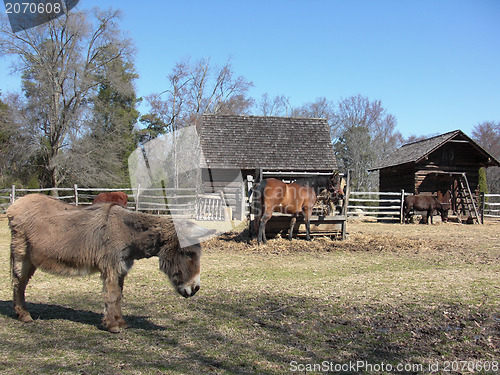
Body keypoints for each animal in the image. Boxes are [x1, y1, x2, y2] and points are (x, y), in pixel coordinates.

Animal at [6, 195, 209, 334]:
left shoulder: (121, 269)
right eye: (188, 253)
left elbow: (118, 295)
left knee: (21, 284)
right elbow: (111, 295)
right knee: (18, 283)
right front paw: (112, 326)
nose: (196, 288)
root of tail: (14, 205)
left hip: (31, 259)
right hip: (21, 255)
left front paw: (120, 322)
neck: (128, 234)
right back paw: (24, 315)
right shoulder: (111, 267)